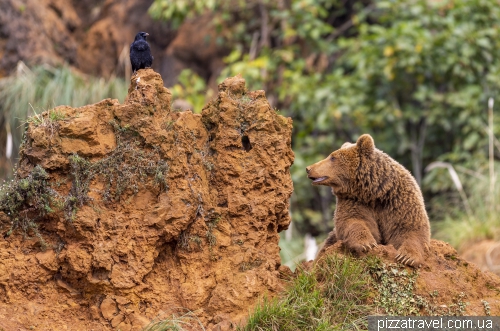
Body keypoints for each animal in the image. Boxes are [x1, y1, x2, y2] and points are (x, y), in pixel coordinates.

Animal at [306, 134, 432, 268]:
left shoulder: (398, 199)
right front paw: (366, 243)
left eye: (332, 157)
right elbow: (353, 220)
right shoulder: (354, 200)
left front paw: (407, 257)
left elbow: (410, 227)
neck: (374, 192)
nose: (308, 168)